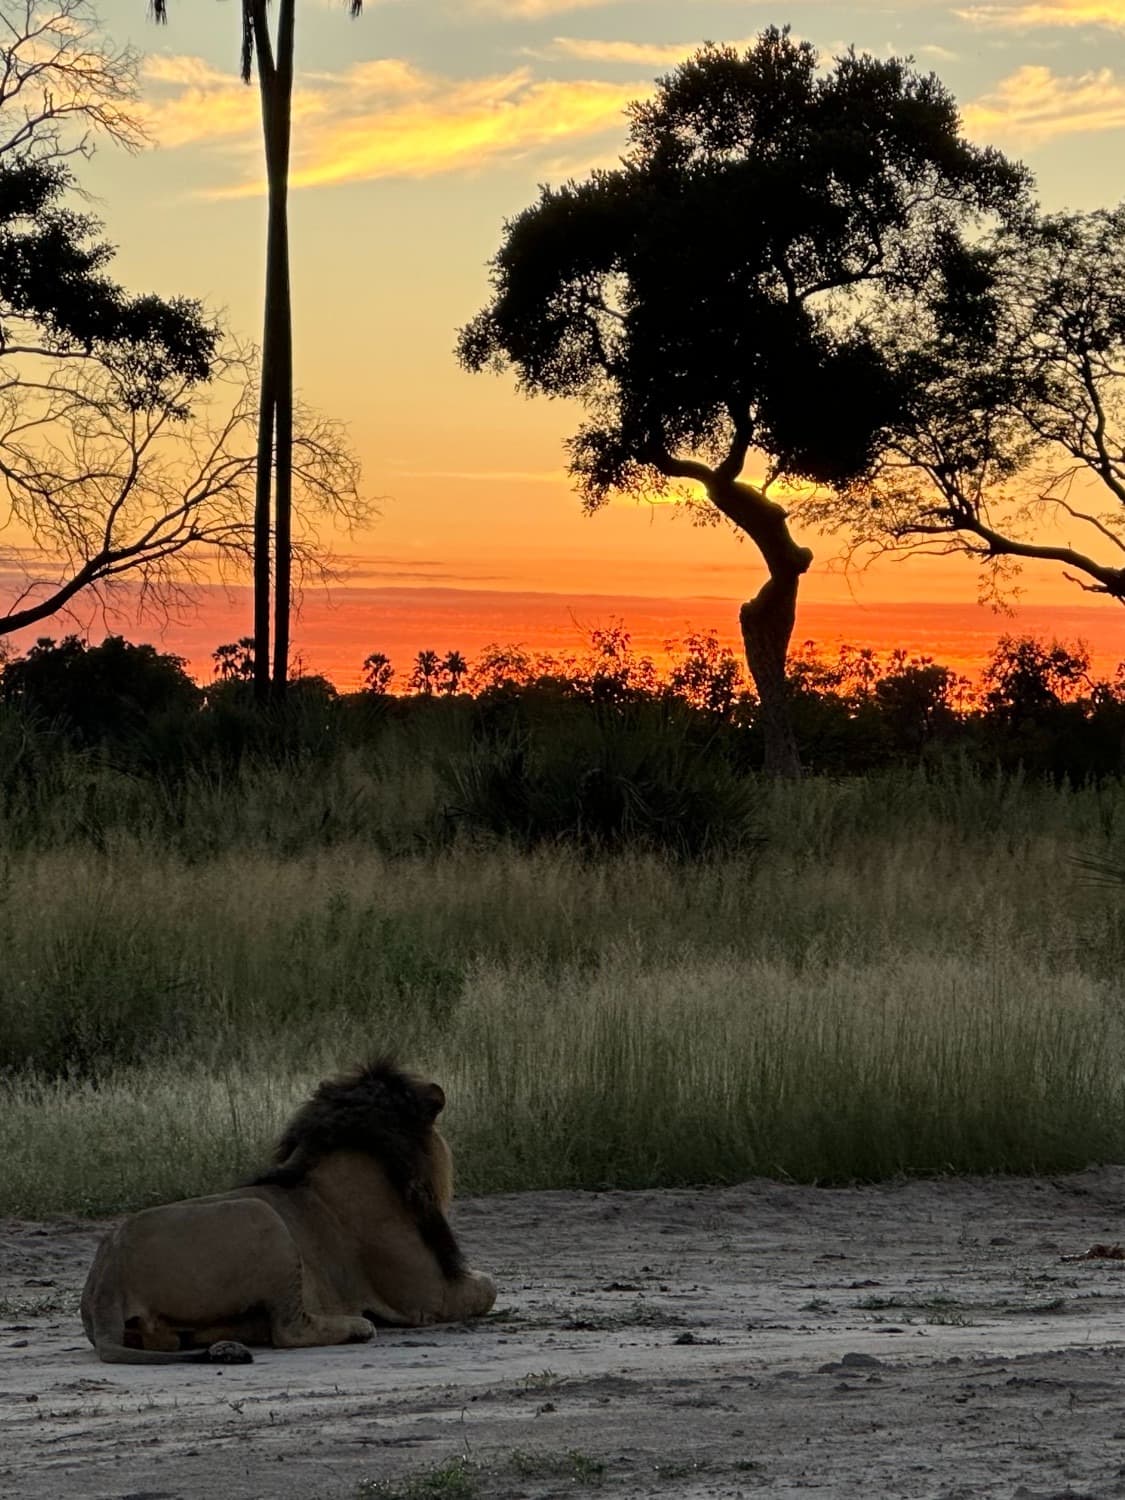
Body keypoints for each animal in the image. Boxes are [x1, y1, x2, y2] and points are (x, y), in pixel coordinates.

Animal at [80, 1059, 497, 1364]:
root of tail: (107, 1274)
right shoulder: (426, 1296)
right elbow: (489, 1288)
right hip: (262, 1216)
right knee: (289, 1330)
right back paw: (358, 1326)